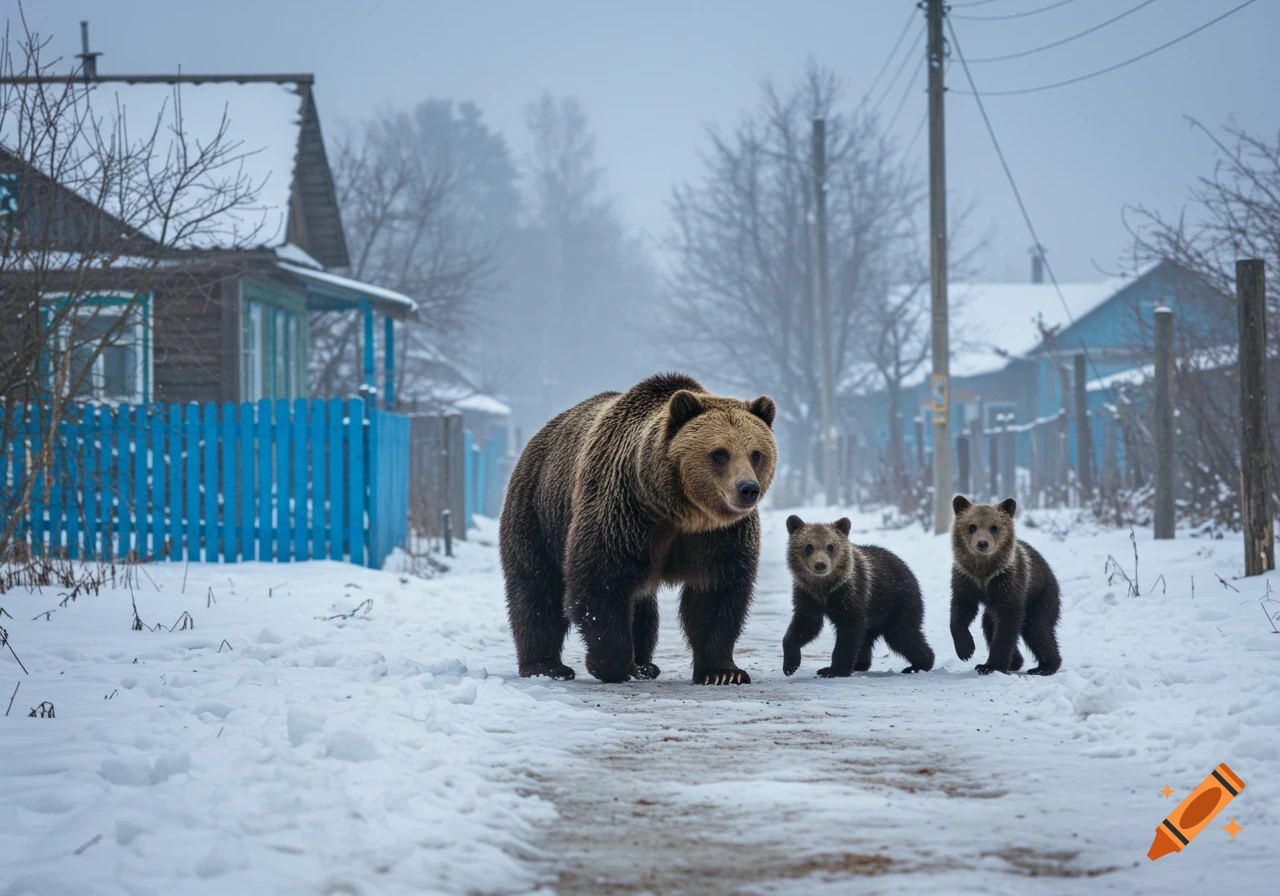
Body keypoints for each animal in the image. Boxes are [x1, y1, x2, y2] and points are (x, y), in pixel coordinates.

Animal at [499, 372, 778, 685]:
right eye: (720, 453)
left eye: (756, 454)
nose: (748, 489)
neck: (681, 511)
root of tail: (541, 434)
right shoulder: (625, 511)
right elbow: (601, 583)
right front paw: (611, 665)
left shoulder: (720, 535)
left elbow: (717, 593)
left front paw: (722, 672)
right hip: (538, 510)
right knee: (537, 587)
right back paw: (546, 666)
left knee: (642, 604)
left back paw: (645, 664)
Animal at [782, 516, 934, 677]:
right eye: (809, 546)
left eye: (830, 546)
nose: (820, 564)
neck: (825, 587)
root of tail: (906, 567)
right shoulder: (807, 595)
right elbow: (805, 624)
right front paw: (790, 665)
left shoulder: (849, 593)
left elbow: (849, 631)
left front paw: (833, 670)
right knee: (869, 638)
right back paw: (860, 664)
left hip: (898, 601)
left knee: (902, 634)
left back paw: (918, 664)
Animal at [949, 495, 1062, 676]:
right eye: (972, 526)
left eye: (993, 527)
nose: (982, 543)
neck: (984, 572)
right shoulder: (966, 579)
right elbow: (961, 609)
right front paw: (966, 650)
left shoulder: (1007, 581)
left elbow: (1007, 624)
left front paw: (991, 666)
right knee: (988, 625)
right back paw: (1017, 661)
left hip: (1040, 595)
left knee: (1037, 628)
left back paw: (1045, 666)